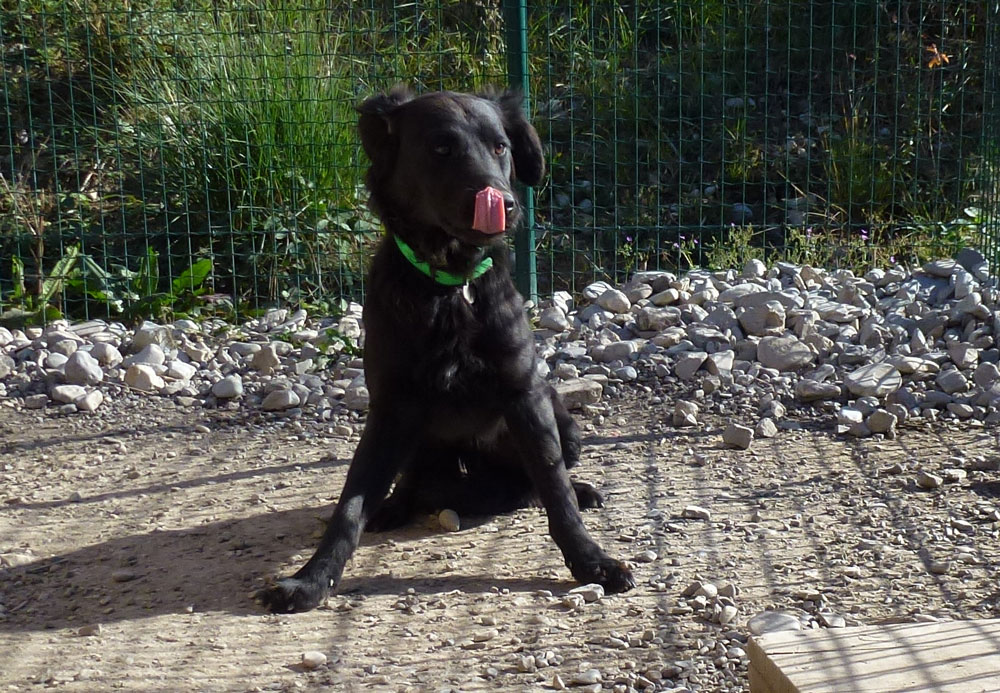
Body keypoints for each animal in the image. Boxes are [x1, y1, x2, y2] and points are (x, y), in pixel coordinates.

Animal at [258, 86, 632, 612]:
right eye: (441, 149)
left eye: (500, 147)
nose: (505, 204)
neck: (450, 288)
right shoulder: (390, 408)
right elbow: (350, 505)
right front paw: (312, 579)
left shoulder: (525, 396)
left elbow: (554, 489)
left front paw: (591, 561)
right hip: (415, 439)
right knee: (408, 482)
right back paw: (394, 506)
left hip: (565, 421)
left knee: (543, 480)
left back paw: (577, 491)